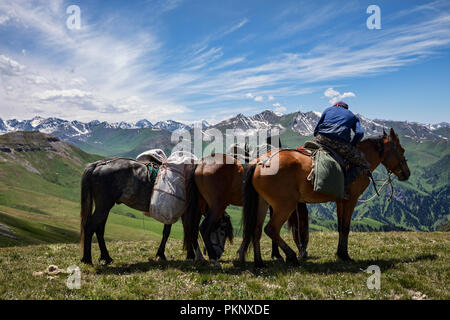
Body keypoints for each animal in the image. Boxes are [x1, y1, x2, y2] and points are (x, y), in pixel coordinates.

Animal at [241, 128, 410, 268]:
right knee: (271, 229)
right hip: (285, 206)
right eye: (402, 150)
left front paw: (340, 253)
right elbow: (346, 227)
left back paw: (260, 262)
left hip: (262, 203)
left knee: (256, 230)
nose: (407, 173)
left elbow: (341, 226)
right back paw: (292, 256)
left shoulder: (341, 201)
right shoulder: (351, 199)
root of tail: (259, 163)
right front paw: (345, 256)